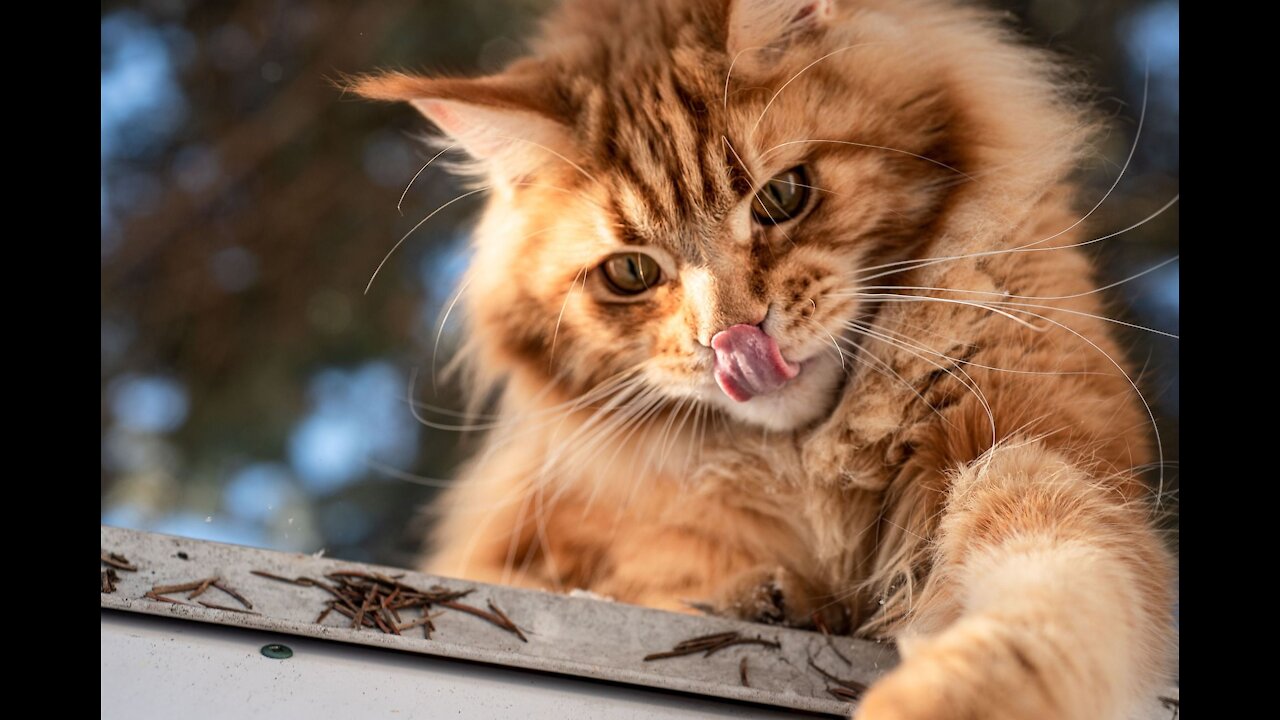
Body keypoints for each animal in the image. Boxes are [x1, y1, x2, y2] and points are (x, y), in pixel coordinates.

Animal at [355, 2, 1172, 712]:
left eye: (783, 196)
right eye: (631, 273)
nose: (733, 340)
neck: (810, 463)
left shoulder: (1029, 443)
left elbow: (1043, 596)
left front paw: (950, 697)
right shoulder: (541, 544)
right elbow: (641, 577)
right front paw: (765, 598)